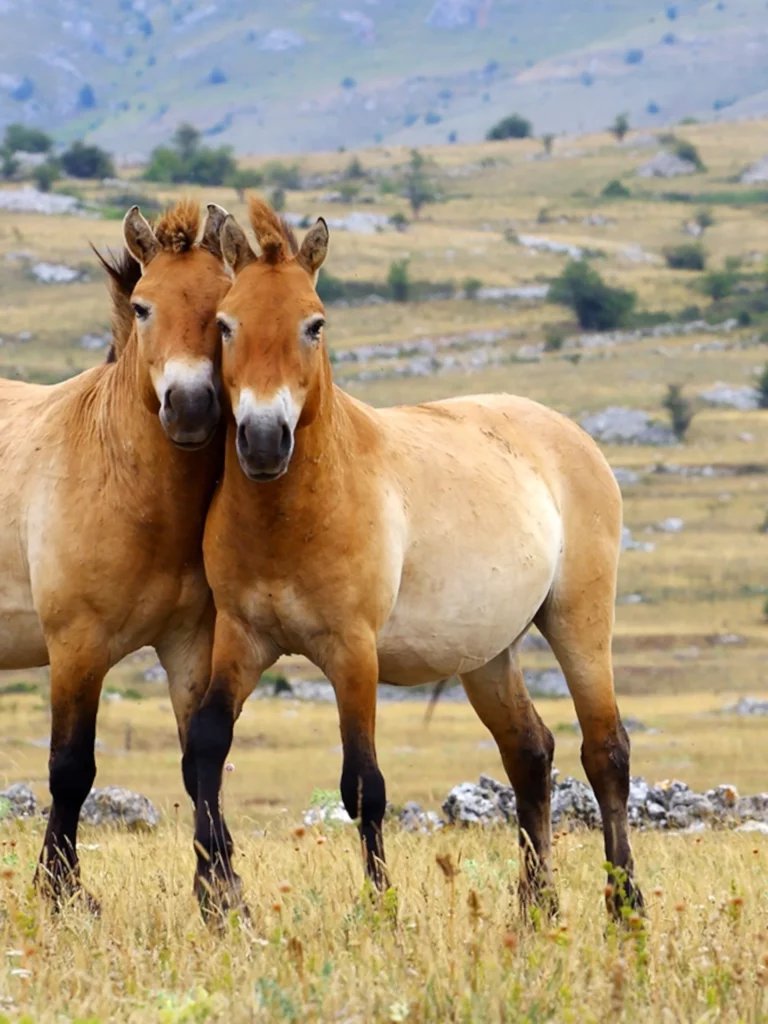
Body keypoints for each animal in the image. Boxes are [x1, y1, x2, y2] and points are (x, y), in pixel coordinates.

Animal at [0, 199, 232, 909]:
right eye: (142, 306)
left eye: (224, 308)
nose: (190, 407)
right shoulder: (77, 647)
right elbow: (71, 768)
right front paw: (62, 892)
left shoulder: (189, 645)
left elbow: (200, 763)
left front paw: (220, 894)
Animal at [185, 197, 643, 920]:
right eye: (225, 324)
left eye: (314, 324)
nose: (262, 440)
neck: (293, 515)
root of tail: (572, 435)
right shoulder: (243, 637)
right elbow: (206, 744)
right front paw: (215, 900)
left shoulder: (353, 653)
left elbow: (362, 785)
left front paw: (381, 909)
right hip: (488, 653)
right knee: (529, 752)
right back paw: (536, 909)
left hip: (579, 621)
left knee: (605, 753)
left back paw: (625, 907)